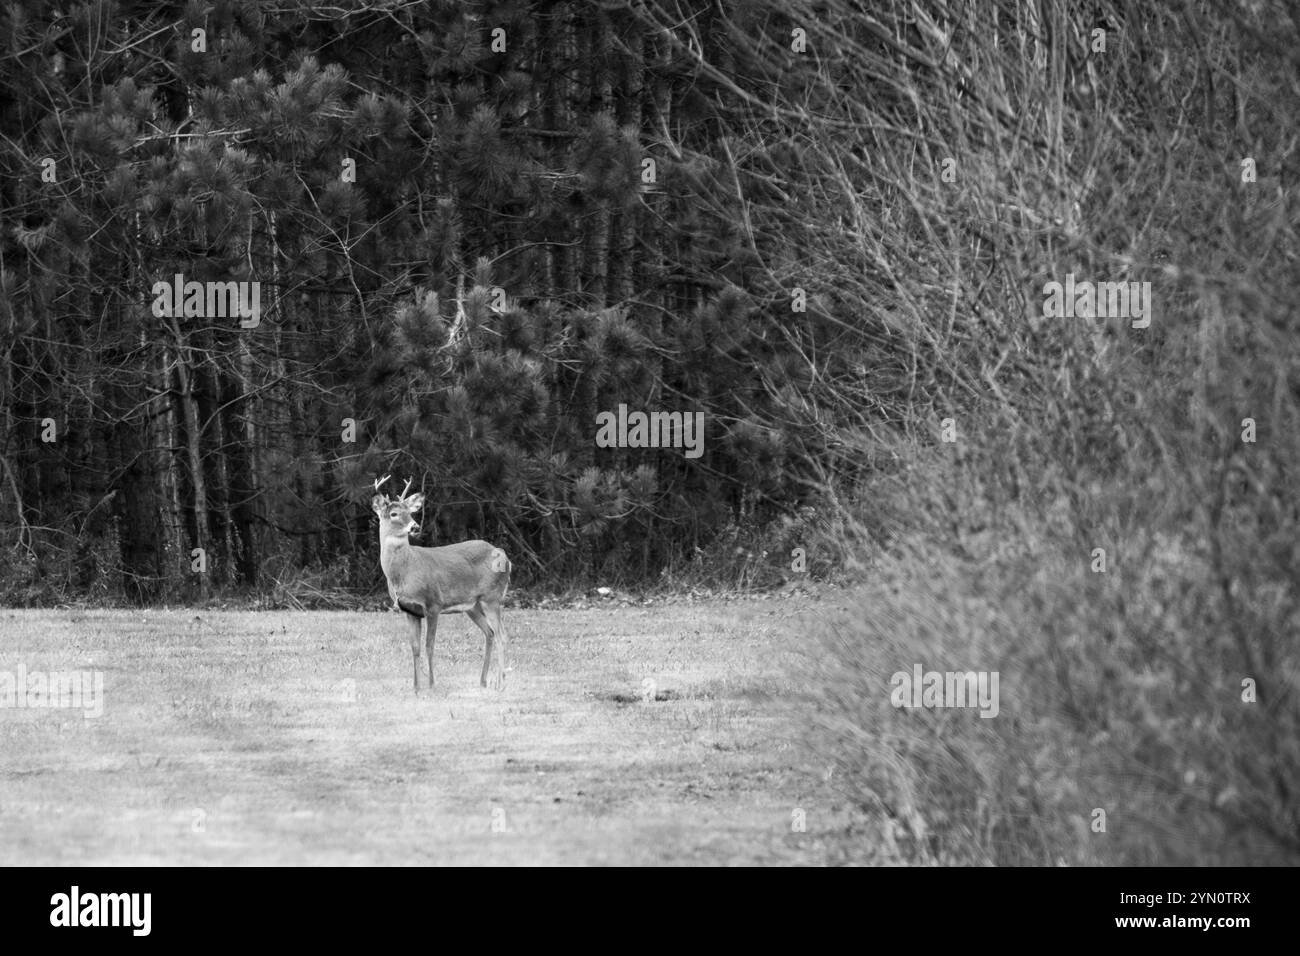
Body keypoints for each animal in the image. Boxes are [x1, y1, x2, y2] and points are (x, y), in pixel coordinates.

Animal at [371, 475, 512, 693]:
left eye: (410, 512)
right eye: (394, 514)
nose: (415, 527)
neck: (406, 572)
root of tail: (505, 557)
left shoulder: (433, 604)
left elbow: (429, 645)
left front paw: (431, 684)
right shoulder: (409, 610)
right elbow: (415, 648)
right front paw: (416, 688)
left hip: (492, 597)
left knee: (502, 636)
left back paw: (500, 683)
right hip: (473, 605)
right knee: (489, 633)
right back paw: (483, 681)